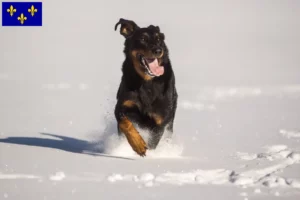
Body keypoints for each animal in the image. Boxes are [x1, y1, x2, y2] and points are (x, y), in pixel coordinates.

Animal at [113, 18, 177, 156]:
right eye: (143, 38)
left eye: (159, 39)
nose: (158, 50)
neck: (146, 82)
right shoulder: (122, 106)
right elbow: (125, 124)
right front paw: (138, 145)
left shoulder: (160, 121)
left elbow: (153, 142)